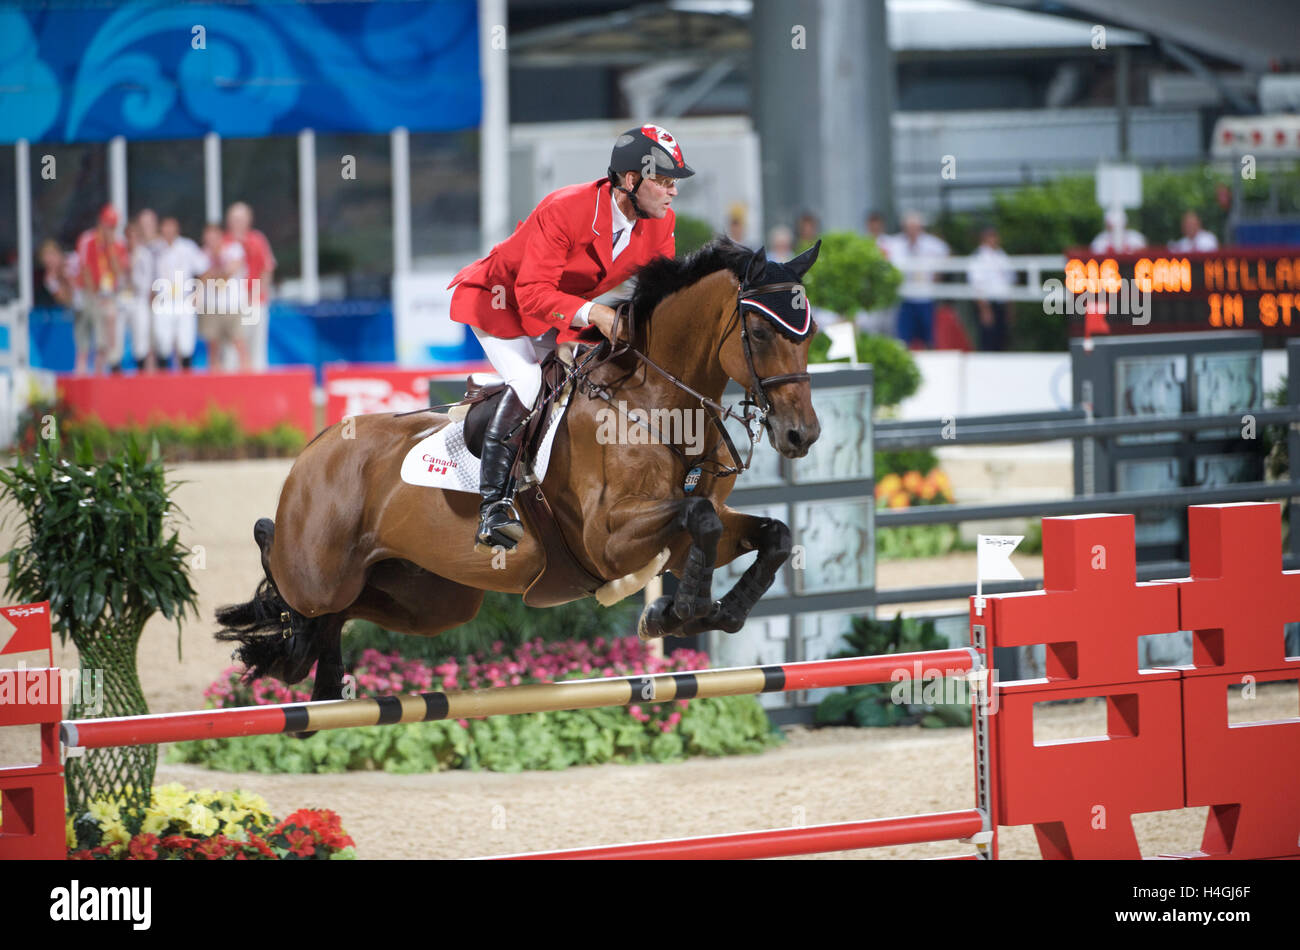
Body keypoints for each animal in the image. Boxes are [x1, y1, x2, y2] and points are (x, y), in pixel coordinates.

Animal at [215, 237, 821, 706]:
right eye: (759, 334)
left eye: (809, 335)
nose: (802, 435)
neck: (655, 404)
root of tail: (318, 445)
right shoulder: (608, 539)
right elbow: (700, 518)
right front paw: (677, 612)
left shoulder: (679, 536)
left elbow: (768, 533)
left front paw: (712, 612)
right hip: (320, 573)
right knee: (291, 579)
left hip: (431, 599)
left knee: (340, 614)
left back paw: (316, 672)